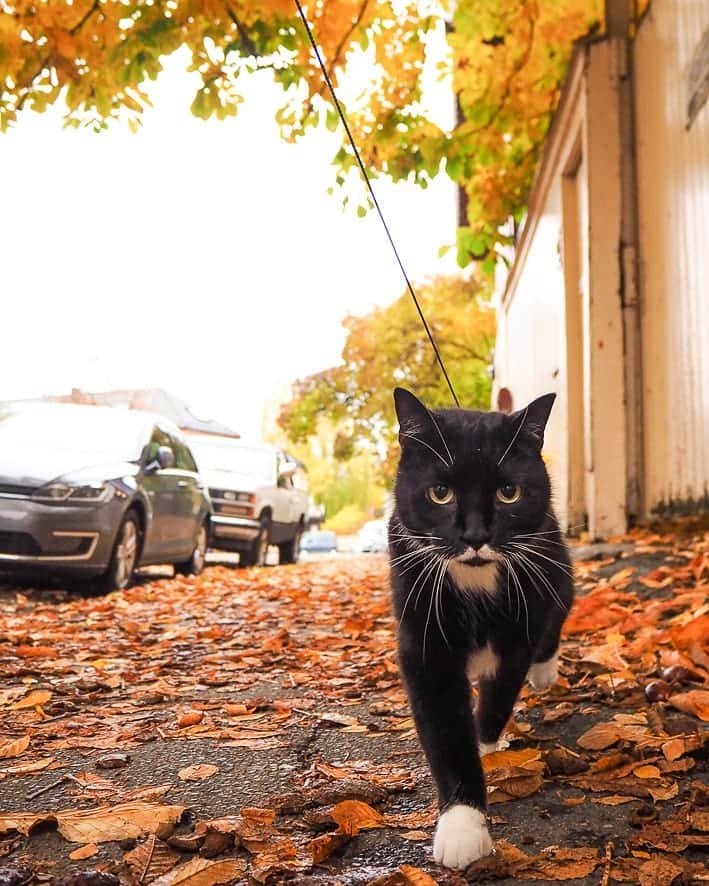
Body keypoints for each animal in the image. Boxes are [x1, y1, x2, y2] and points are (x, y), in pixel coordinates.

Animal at [390, 390, 572, 876]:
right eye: (440, 492)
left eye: (509, 492)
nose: (474, 535)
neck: (474, 579)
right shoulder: (423, 645)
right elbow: (446, 733)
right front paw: (462, 828)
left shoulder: (521, 627)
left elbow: (500, 692)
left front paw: (488, 742)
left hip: (557, 566)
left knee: (557, 617)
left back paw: (544, 673)